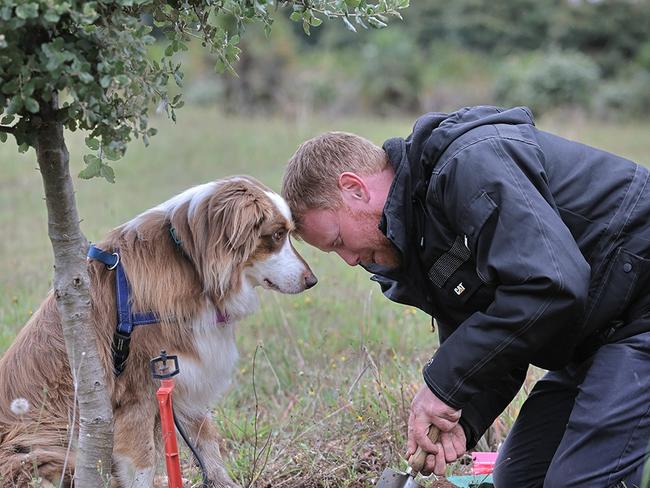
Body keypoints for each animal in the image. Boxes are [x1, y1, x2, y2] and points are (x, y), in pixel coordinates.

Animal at [0, 176, 316, 488]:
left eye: (289, 233)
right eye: (277, 235)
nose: (312, 280)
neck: (191, 264)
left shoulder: (186, 374)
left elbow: (206, 441)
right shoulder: (136, 394)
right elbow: (143, 463)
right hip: (38, 450)